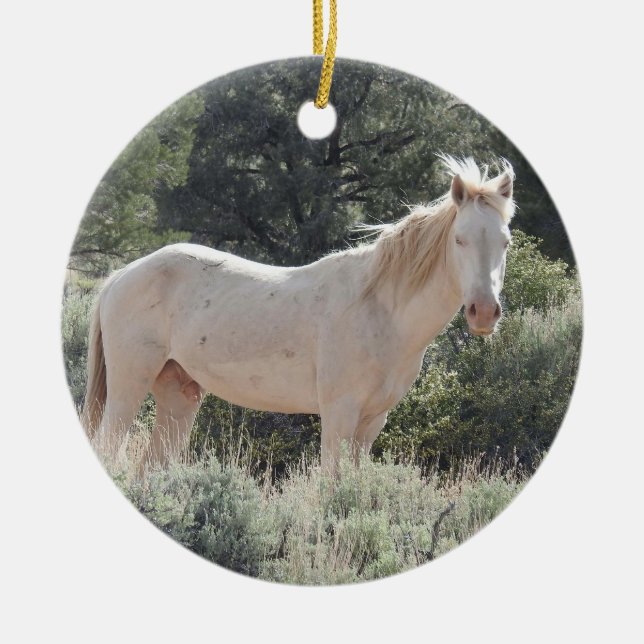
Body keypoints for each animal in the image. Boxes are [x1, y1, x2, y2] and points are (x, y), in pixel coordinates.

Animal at [81, 156, 515, 475]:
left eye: (506, 241)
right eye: (459, 240)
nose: (483, 312)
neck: (381, 311)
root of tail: (122, 275)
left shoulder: (372, 421)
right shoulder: (340, 415)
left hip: (178, 397)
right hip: (128, 388)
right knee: (110, 449)